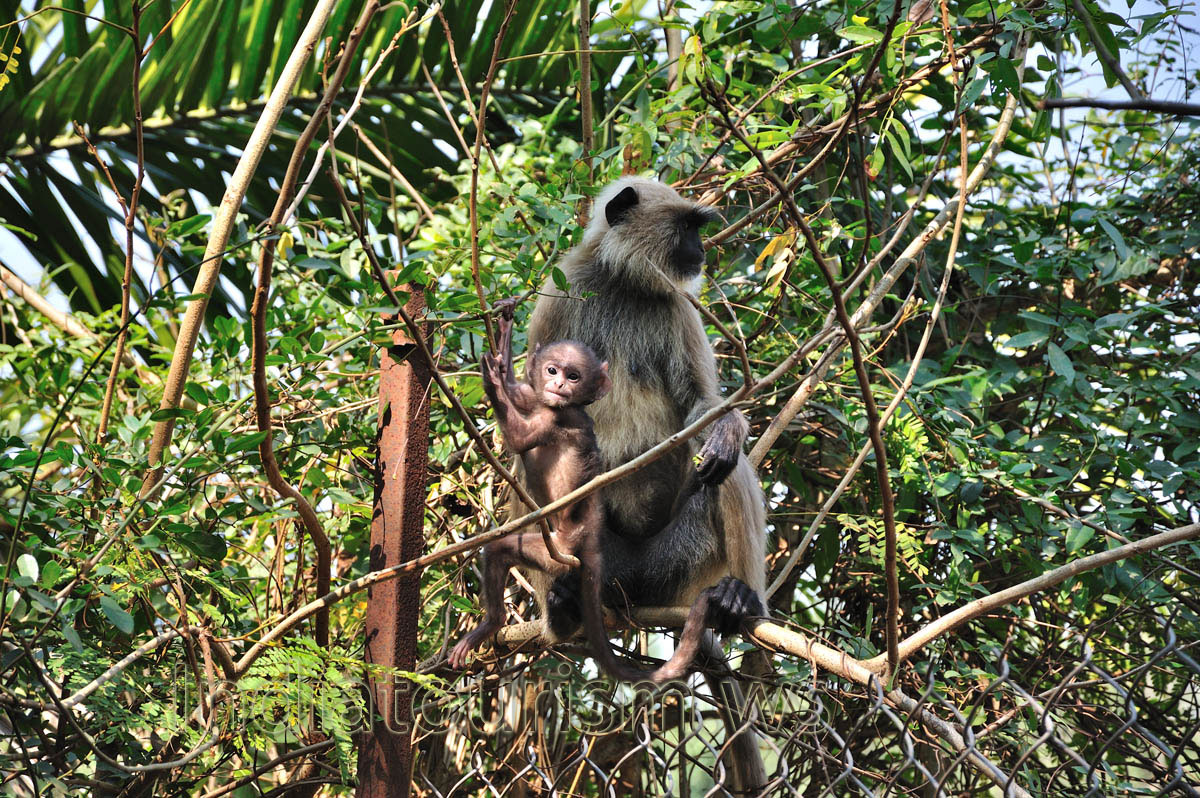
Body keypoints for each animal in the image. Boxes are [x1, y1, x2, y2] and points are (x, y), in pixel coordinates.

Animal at [448, 301, 723, 683]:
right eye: (552, 370)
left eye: (574, 376)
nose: (559, 383)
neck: (556, 406)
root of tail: (590, 537)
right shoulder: (539, 399)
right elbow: (520, 394)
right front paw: (502, 348)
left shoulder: (560, 420)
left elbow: (520, 438)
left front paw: (492, 379)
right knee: (500, 551)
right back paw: (492, 624)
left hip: (560, 551)